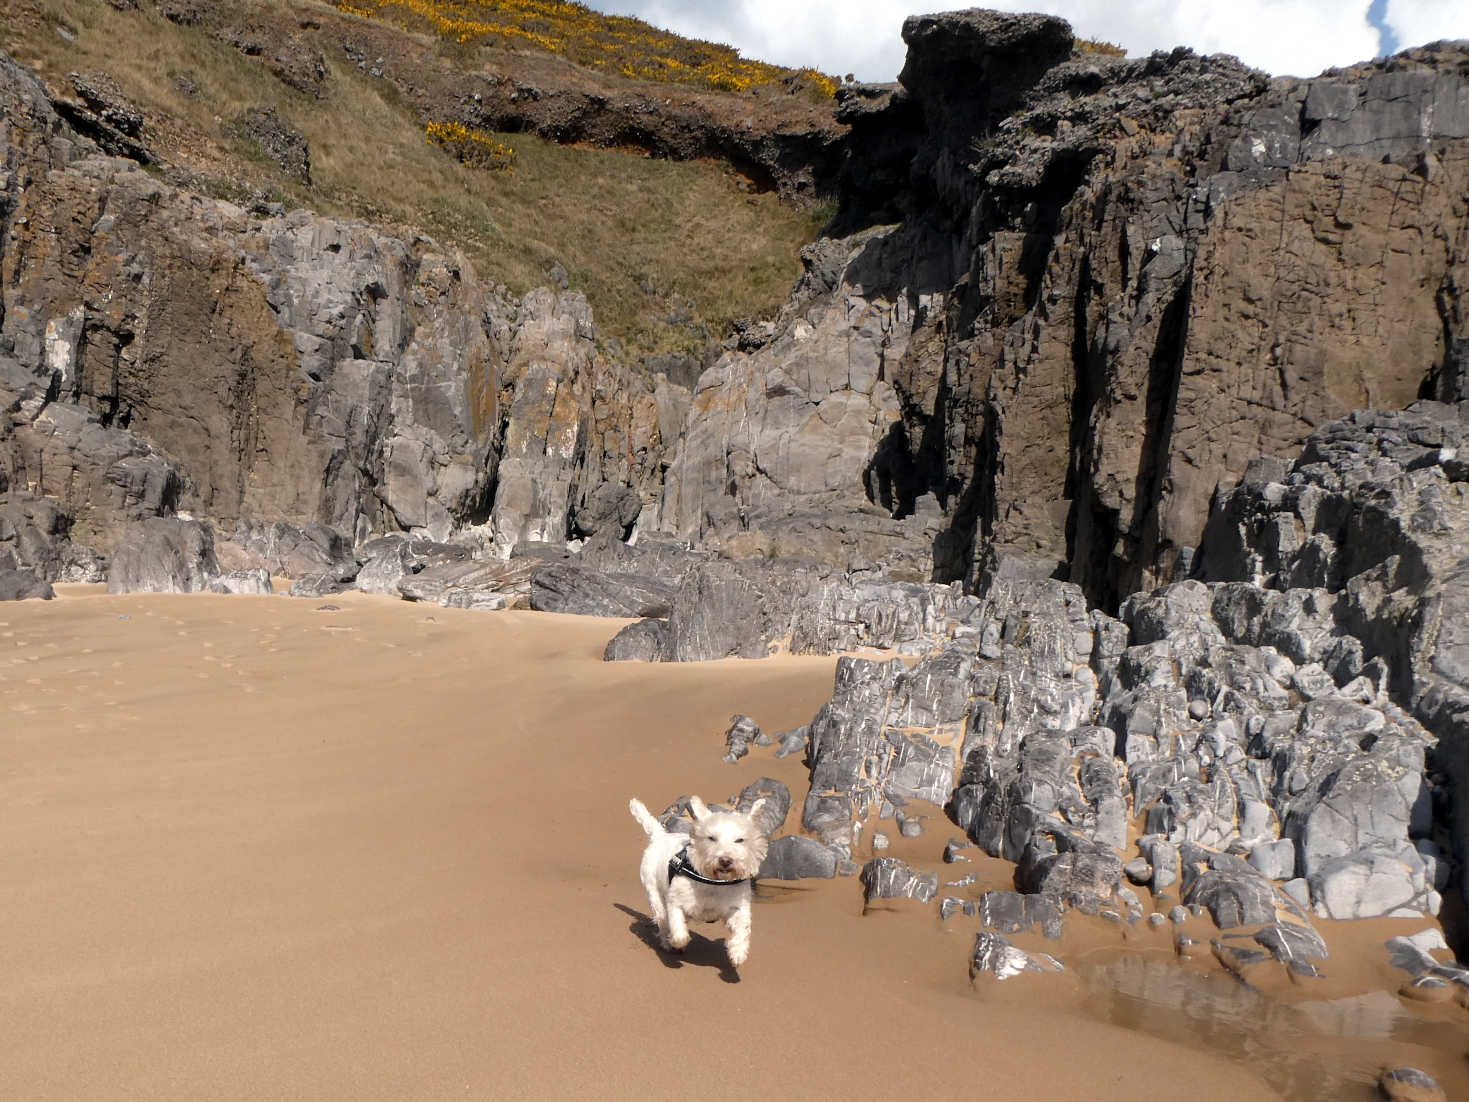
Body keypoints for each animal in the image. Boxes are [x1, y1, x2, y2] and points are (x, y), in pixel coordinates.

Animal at [628, 799, 769, 969]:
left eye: (740, 840)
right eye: (711, 838)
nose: (725, 860)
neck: (714, 881)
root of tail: (660, 836)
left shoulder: (737, 906)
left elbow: (742, 928)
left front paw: (738, 952)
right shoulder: (675, 902)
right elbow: (678, 929)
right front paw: (677, 942)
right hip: (653, 892)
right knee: (662, 919)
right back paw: (667, 943)